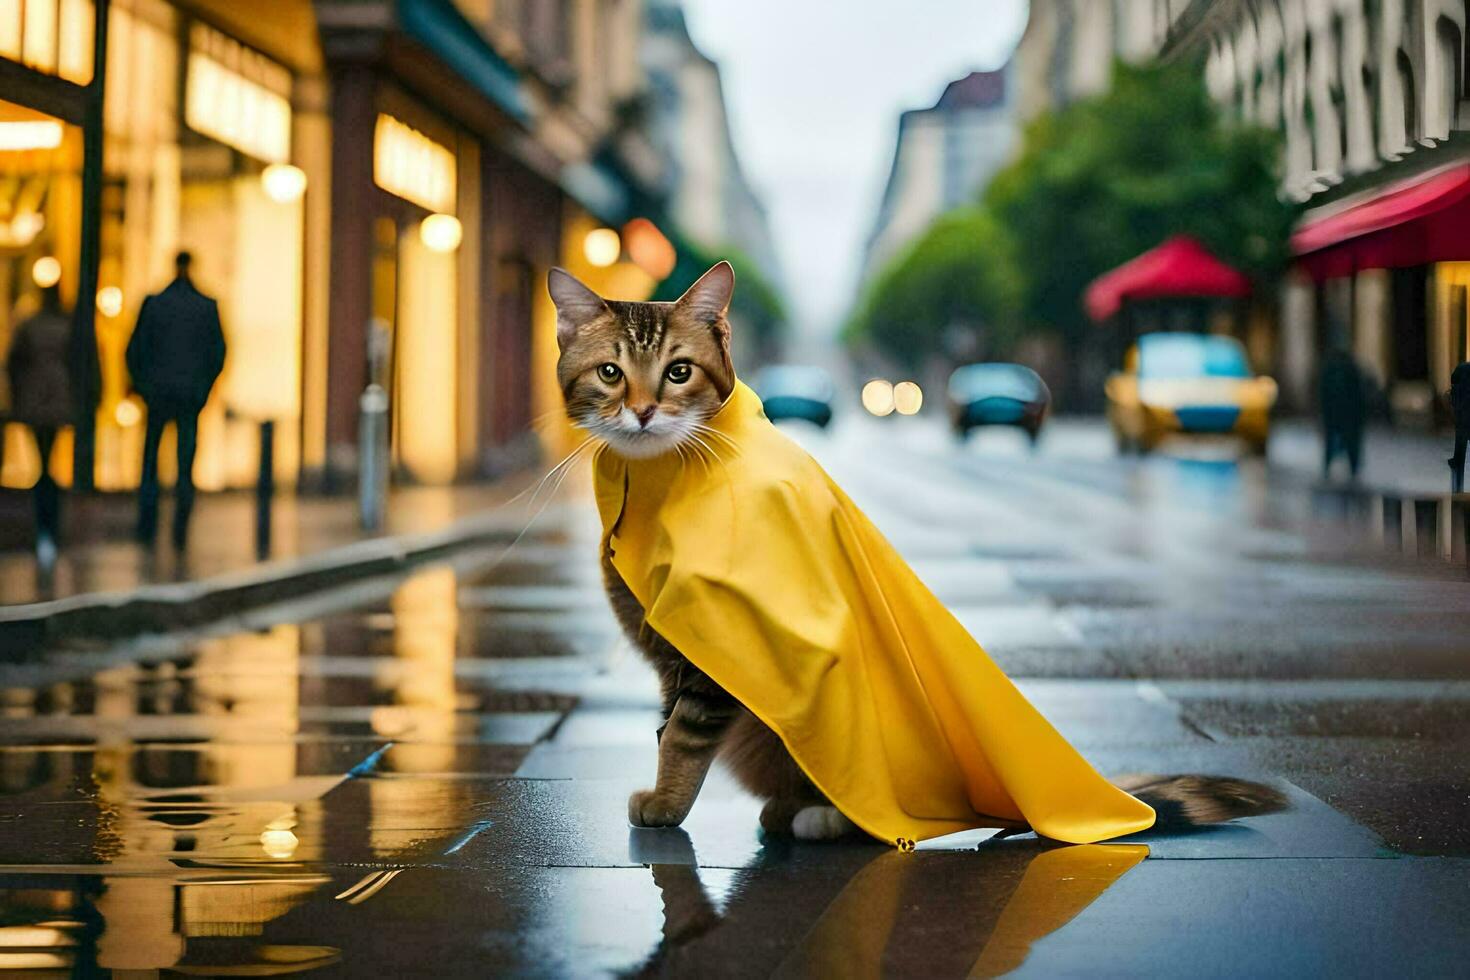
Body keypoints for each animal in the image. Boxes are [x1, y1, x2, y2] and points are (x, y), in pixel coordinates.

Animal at [546, 262, 1281, 846]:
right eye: (610, 373)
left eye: (678, 373)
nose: (643, 412)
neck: (657, 483)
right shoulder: (670, 655)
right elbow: (664, 725)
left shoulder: (714, 647)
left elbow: (684, 735)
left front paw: (666, 806)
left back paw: (819, 817)